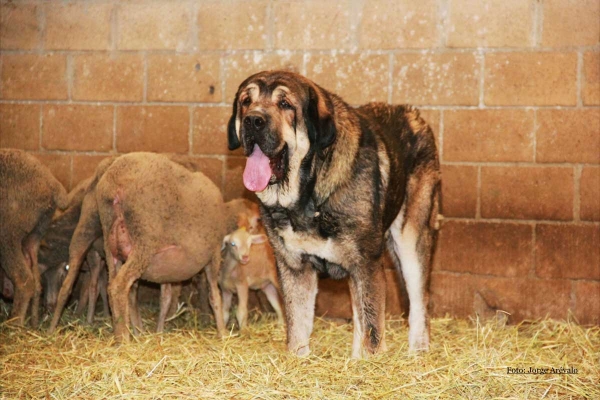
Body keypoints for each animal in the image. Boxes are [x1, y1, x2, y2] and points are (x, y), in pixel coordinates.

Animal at [0, 148, 68, 326]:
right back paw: (33, 323)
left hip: (8, 234)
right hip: (34, 235)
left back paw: (14, 324)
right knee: (36, 282)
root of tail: (52, 184)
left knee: (24, 281)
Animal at [48, 153, 227, 340]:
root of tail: (113, 180)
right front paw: (222, 333)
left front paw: (157, 331)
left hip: (103, 239)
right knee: (119, 287)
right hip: (143, 241)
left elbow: (165, 297)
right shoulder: (214, 254)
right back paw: (125, 339)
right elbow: (214, 295)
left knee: (84, 284)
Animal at [227, 70, 438, 358]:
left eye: (285, 104)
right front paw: (299, 359)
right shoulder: (295, 266)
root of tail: (414, 114)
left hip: (410, 237)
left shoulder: (367, 263)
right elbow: (298, 328)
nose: (253, 120)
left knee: (419, 301)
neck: (308, 193)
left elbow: (374, 331)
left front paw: (373, 364)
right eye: (246, 102)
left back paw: (418, 351)